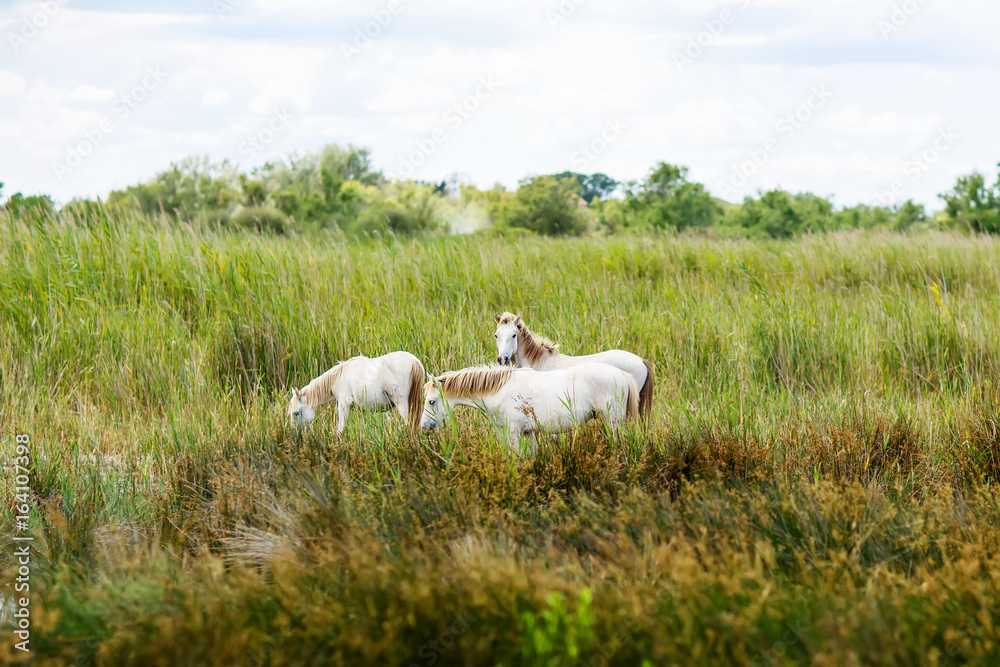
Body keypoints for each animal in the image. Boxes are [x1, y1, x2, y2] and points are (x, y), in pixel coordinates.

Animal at [287, 351, 425, 434]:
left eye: (296, 413)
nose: (293, 432)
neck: (338, 377)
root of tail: (414, 361)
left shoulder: (344, 405)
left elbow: (340, 430)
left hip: (403, 405)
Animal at [420, 363, 639, 454]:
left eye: (431, 401)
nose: (424, 426)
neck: (500, 390)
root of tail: (621, 374)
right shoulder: (529, 432)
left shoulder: (513, 433)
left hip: (613, 422)